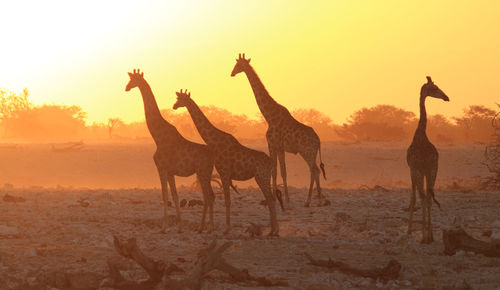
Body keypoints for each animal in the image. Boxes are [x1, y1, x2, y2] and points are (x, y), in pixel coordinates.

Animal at [125, 69, 215, 233]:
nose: (126, 88)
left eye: (133, 80)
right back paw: (204, 227)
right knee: (209, 195)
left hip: (203, 171)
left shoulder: (161, 167)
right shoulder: (170, 171)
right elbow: (174, 196)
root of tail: (213, 155)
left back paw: (207, 227)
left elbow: (165, 196)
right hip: (205, 172)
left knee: (209, 195)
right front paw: (179, 227)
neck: (157, 136)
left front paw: (163, 227)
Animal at [173, 90, 284, 236]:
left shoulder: (224, 173)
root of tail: (271, 163)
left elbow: (227, 200)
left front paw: (226, 229)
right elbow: (225, 199)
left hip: (262, 176)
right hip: (262, 177)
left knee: (270, 199)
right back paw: (272, 230)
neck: (214, 141)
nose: (174, 106)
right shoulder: (223, 174)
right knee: (270, 198)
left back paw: (275, 230)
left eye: (180, 99)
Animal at [231, 53, 326, 207]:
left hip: (307, 152)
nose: (232, 73)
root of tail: (318, 140)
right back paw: (313, 200)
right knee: (315, 171)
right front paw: (283, 198)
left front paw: (280, 199)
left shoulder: (272, 144)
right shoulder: (279, 147)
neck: (269, 116)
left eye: (238, 65)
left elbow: (277, 171)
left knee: (314, 171)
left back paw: (312, 201)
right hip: (310, 152)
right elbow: (281, 171)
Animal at [406, 76, 450, 244]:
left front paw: (411, 231)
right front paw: (421, 232)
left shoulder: (414, 168)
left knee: (425, 197)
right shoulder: (420, 169)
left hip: (428, 170)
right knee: (428, 196)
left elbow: (416, 197)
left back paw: (426, 235)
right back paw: (429, 235)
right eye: (434, 88)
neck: (420, 136)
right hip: (431, 170)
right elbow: (420, 197)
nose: (446, 97)